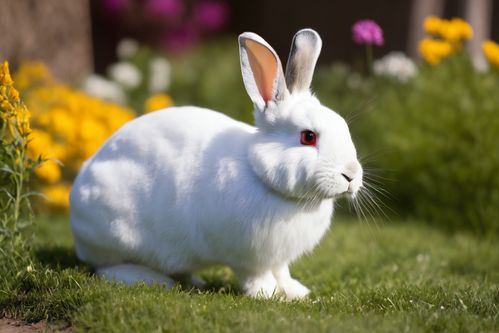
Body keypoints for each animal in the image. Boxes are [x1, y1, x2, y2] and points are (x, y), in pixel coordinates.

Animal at [70, 29, 364, 298]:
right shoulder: (248, 257)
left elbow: (282, 271)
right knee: (107, 268)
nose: (350, 176)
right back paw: (155, 280)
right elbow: (257, 275)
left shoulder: (278, 258)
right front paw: (267, 293)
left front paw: (296, 292)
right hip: (115, 235)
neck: (263, 177)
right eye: (308, 137)